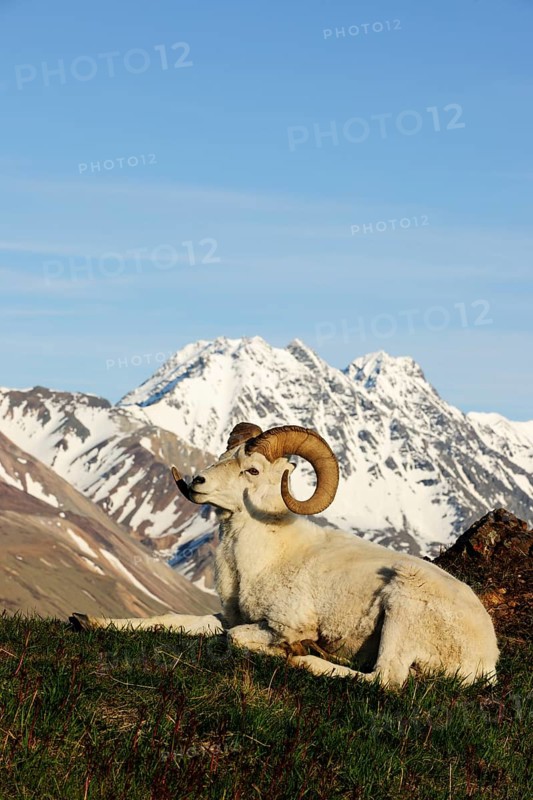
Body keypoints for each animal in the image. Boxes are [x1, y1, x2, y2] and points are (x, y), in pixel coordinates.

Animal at [71, 422, 499, 687]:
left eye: (253, 470)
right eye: (225, 454)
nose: (197, 482)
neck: (263, 558)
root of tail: (486, 657)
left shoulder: (282, 623)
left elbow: (236, 639)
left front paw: (292, 648)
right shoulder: (227, 616)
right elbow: (171, 620)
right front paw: (86, 620)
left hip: (402, 607)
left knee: (385, 680)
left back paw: (302, 658)